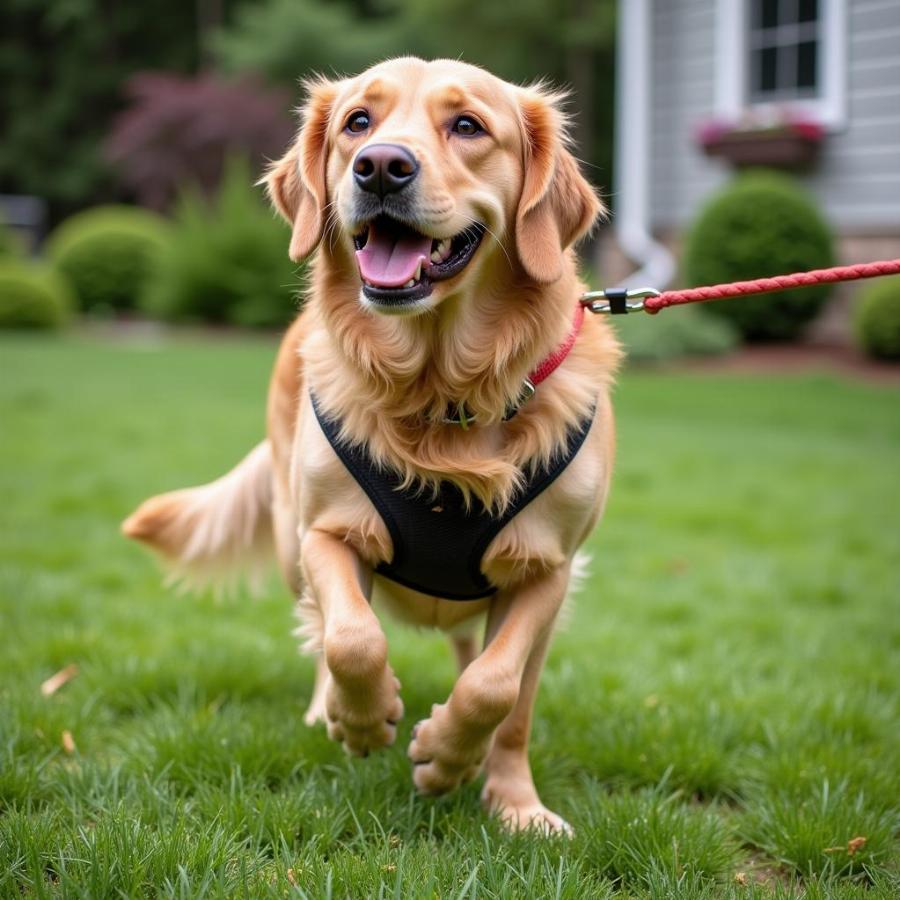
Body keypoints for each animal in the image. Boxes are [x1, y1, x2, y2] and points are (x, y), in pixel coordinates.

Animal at [125, 56, 620, 832]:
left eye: (468, 126)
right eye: (358, 121)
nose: (381, 167)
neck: (443, 398)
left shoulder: (549, 568)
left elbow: (500, 691)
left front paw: (487, 784)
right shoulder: (327, 532)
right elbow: (351, 640)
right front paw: (364, 719)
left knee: (471, 656)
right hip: (290, 541)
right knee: (324, 627)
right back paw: (328, 709)